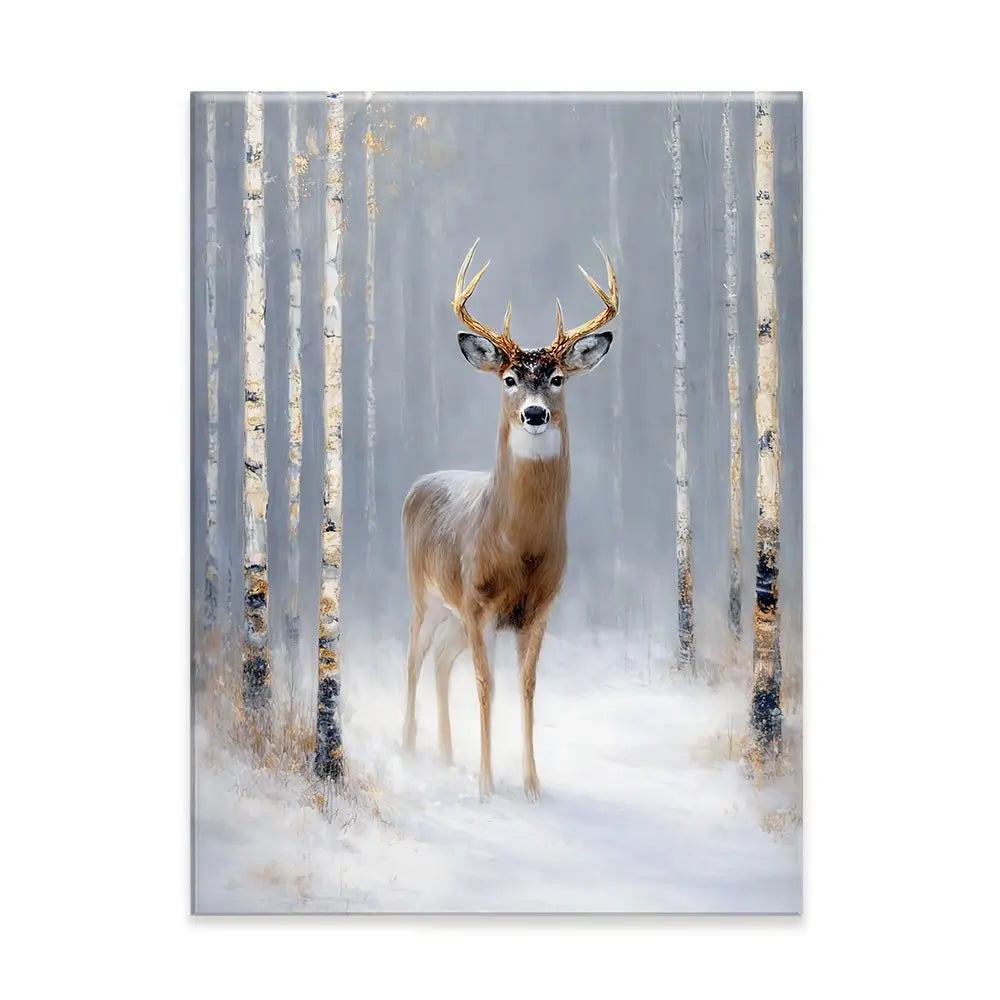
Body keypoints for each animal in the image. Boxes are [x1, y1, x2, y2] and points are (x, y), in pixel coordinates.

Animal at [401, 239, 619, 801]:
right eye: (509, 378)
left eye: (558, 378)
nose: (535, 414)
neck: (519, 549)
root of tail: (417, 484)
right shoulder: (478, 604)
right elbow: (486, 685)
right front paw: (485, 785)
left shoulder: (537, 609)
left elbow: (526, 686)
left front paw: (531, 785)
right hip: (426, 594)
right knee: (414, 657)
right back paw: (409, 746)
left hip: (453, 615)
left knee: (440, 660)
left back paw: (446, 754)